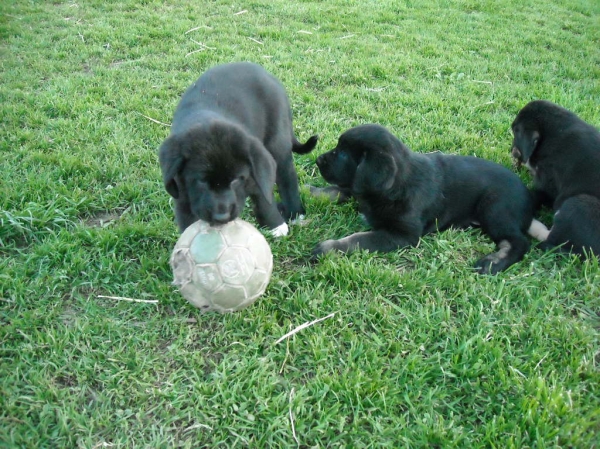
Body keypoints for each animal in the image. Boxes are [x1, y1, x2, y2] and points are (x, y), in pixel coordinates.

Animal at [159, 62, 318, 234]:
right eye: (201, 181)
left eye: (235, 180)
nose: (221, 217)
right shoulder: (183, 195)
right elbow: (187, 220)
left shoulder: (257, 172)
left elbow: (264, 201)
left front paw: (275, 226)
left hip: (277, 141)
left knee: (286, 175)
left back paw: (295, 213)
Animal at [312, 124, 532, 274]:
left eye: (342, 154)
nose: (317, 160)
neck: (396, 187)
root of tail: (528, 192)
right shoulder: (359, 189)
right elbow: (336, 189)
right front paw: (311, 191)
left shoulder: (402, 235)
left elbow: (359, 239)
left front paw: (330, 247)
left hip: (495, 208)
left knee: (519, 242)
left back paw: (493, 262)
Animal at [510, 100, 600, 258]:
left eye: (515, 131)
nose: (512, 151)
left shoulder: (549, 186)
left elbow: (534, 194)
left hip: (579, 204)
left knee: (553, 239)